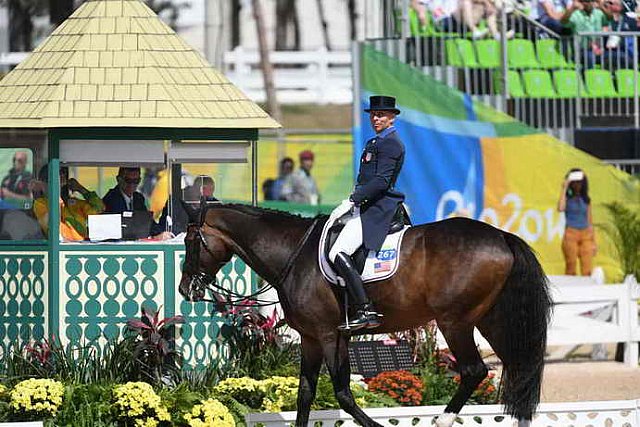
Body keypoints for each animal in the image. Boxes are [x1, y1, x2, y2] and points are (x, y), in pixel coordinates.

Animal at [178, 203, 552, 427]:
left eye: (190, 240)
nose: (185, 290)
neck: (294, 254)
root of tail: (501, 236)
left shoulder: (330, 335)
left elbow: (343, 393)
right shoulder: (312, 338)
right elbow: (305, 393)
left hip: (454, 322)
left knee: (474, 371)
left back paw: (442, 420)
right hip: (491, 320)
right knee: (519, 369)